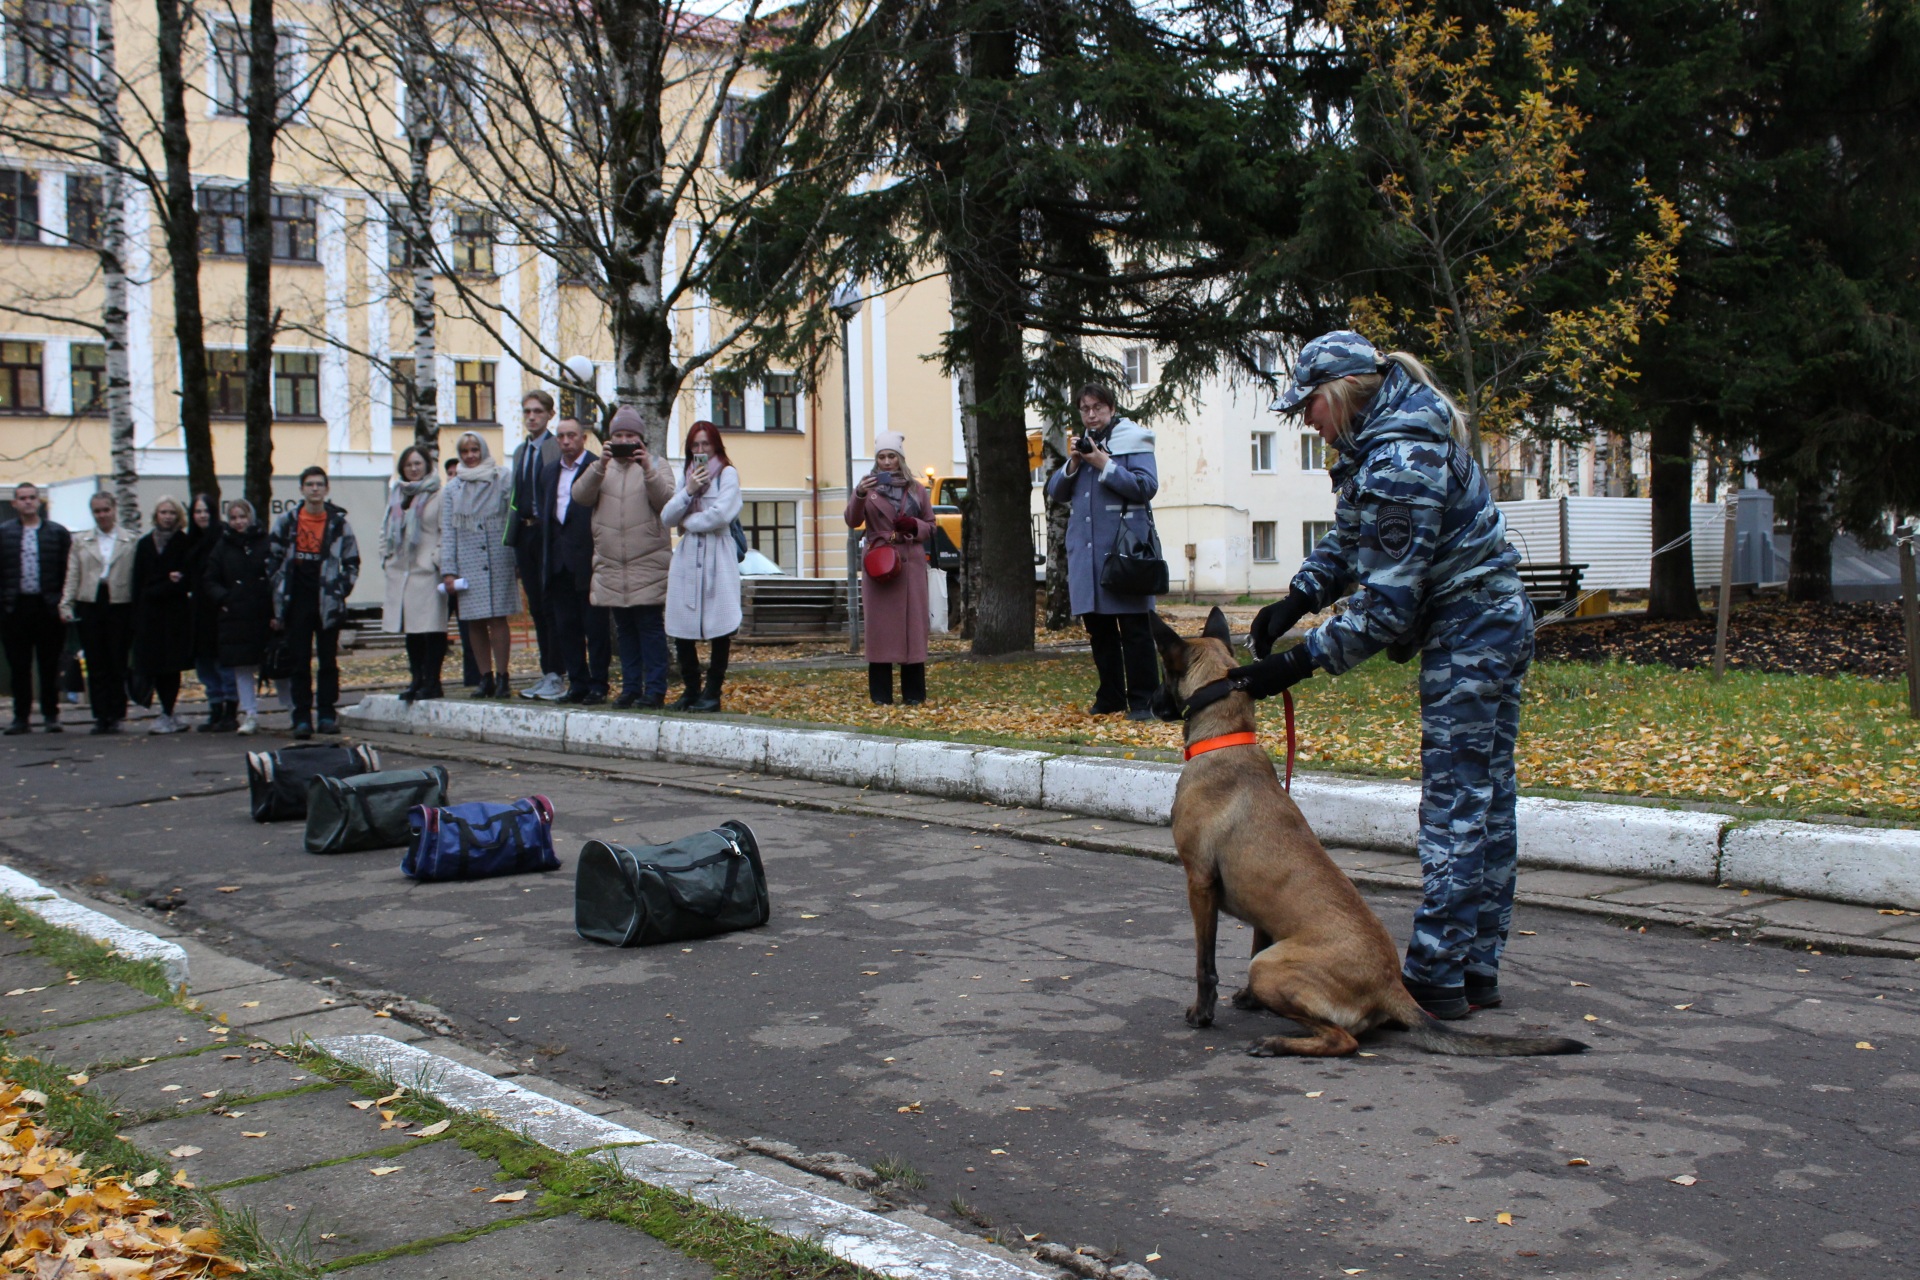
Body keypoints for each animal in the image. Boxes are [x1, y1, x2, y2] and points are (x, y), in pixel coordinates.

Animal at [1144, 614, 1582, 1059]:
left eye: (1163, 673)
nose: (1146, 703)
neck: (1226, 737)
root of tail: (1391, 985)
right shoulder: (1259, 913)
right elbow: (1254, 937)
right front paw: (1248, 1001)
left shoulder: (1199, 883)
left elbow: (1205, 964)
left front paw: (1202, 1014)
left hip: (1269, 967)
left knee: (1344, 1040)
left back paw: (1276, 1041)